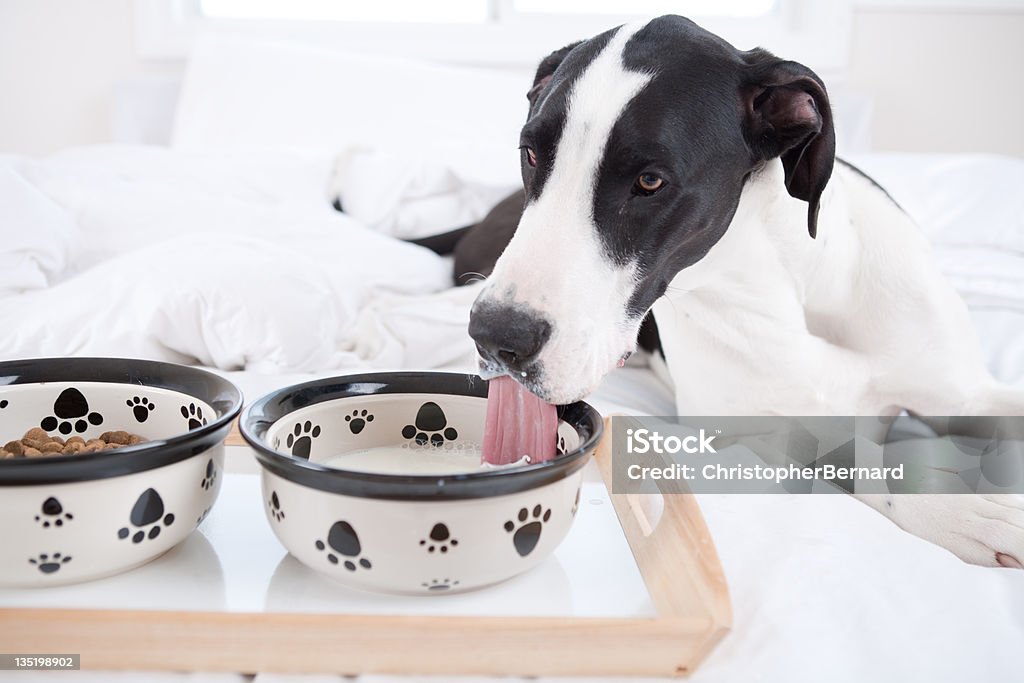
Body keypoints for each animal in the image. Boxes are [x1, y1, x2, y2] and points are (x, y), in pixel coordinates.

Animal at [462, 17, 1024, 573]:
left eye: (650, 181)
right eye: (531, 154)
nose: (495, 335)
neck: (784, 285)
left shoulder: (968, 392)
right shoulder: (765, 445)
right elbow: (864, 461)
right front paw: (962, 509)